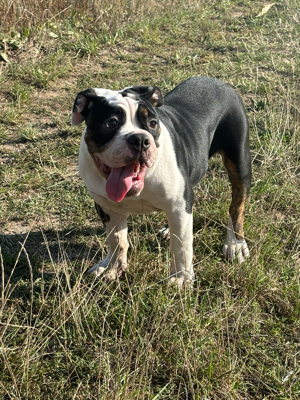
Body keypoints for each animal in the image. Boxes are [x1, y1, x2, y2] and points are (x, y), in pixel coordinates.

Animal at [72, 76, 251, 286]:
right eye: (111, 123)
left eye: (152, 123)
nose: (140, 139)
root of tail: (218, 81)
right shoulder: (106, 206)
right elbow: (116, 240)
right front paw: (112, 268)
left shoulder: (179, 204)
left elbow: (182, 246)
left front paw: (181, 279)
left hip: (239, 164)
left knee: (237, 206)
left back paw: (235, 244)